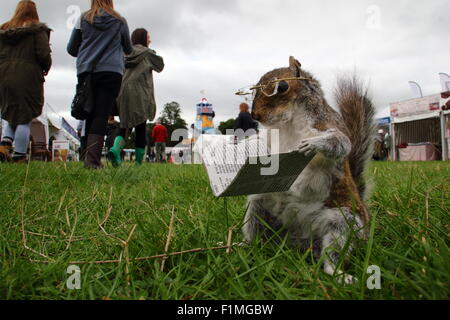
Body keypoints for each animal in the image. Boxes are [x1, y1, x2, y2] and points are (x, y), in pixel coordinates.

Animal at [243, 56, 376, 284]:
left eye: (282, 87)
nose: (255, 115)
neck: (288, 123)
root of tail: (297, 239)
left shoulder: (328, 125)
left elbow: (340, 143)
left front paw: (315, 145)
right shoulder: (270, 140)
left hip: (343, 223)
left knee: (333, 253)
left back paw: (339, 274)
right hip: (259, 207)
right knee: (254, 230)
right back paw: (241, 246)